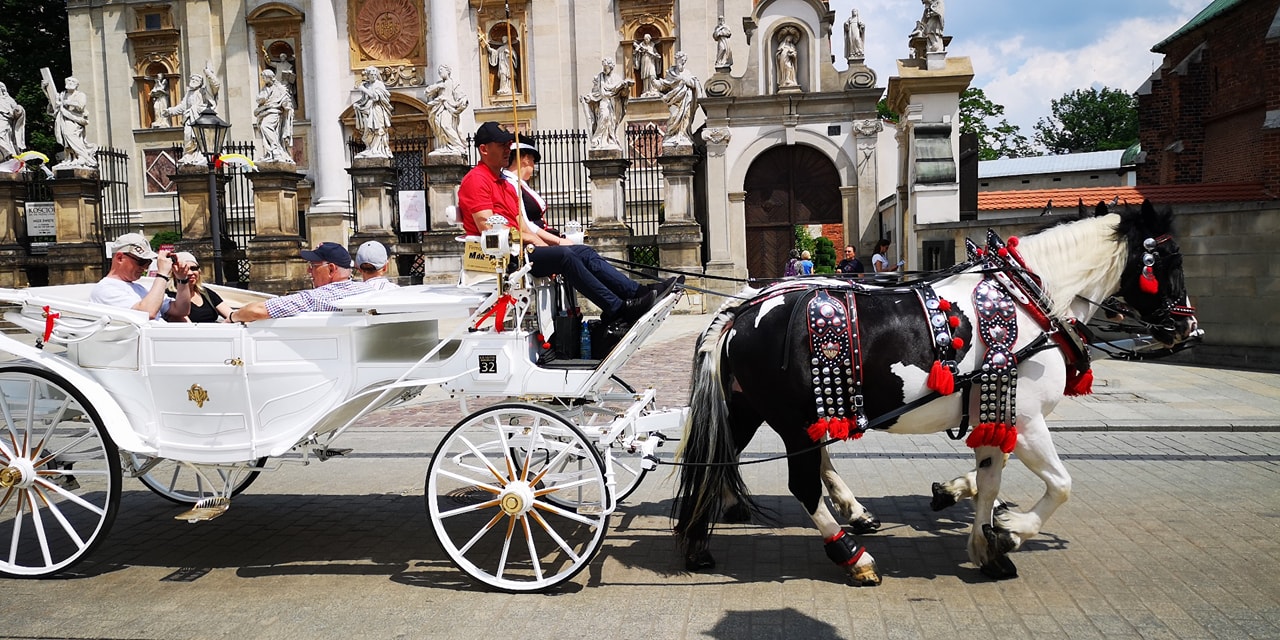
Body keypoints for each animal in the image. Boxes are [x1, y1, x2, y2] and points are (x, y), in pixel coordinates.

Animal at [672, 201, 1199, 585]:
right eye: (1170, 259)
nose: (1187, 329)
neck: (1027, 301)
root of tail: (741, 310)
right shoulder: (1027, 422)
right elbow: (1061, 485)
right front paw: (1011, 533)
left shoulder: (995, 413)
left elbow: (990, 482)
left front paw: (985, 542)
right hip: (792, 420)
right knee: (801, 484)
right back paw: (853, 555)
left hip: (747, 409)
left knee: (715, 461)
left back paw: (698, 541)